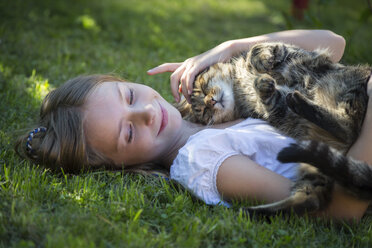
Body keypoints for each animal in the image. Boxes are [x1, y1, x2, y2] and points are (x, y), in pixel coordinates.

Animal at [177, 41, 372, 216]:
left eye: (203, 89)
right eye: (204, 112)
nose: (210, 102)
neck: (239, 86)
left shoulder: (291, 52)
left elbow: (258, 48)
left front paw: (262, 61)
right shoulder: (273, 110)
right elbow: (271, 99)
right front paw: (263, 84)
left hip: (345, 86)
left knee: (349, 128)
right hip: (316, 164)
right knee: (312, 197)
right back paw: (248, 211)